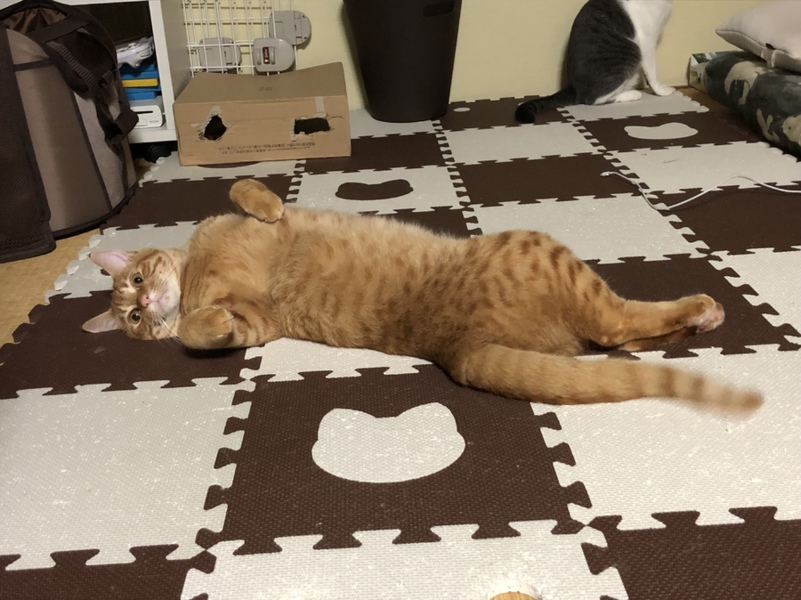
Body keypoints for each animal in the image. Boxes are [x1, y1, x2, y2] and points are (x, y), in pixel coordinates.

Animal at [83, 179, 761, 413]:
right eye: (134, 318)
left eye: (136, 286)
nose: (150, 310)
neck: (197, 274)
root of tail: (456, 348)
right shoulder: (256, 321)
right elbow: (206, 330)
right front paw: (198, 323)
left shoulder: (248, 279)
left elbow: (244, 190)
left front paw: (270, 205)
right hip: (543, 250)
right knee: (617, 328)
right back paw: (703, 311)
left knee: (620, 339)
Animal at [515, 0, 674, 123]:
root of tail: (573, 88)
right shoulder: (647, 39)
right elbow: (652, 71)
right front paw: (661, 90)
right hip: (631, 53)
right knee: (593, 99)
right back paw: (633, 94)